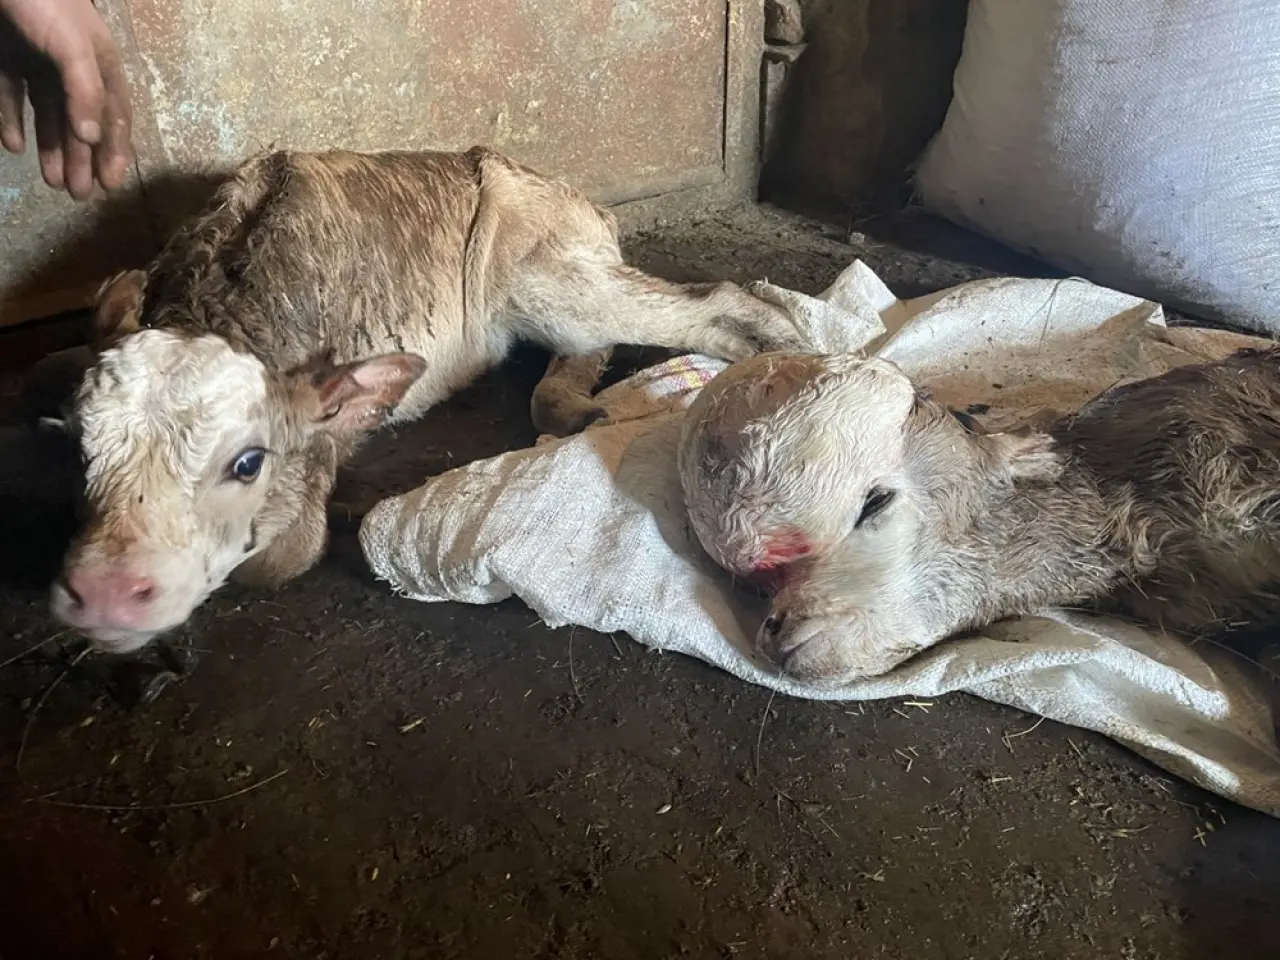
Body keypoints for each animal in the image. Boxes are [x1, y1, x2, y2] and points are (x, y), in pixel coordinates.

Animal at [55, 144, 808, 655]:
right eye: (80, 448)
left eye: (247, 463)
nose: (104, 591)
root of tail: (566, 190)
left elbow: (278, 560)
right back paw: (580, 407)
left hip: (550, 276)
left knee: (716, 299)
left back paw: (795, 347)